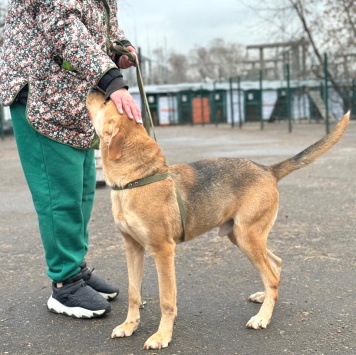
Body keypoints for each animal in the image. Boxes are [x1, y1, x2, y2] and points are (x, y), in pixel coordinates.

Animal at [85, 92, 348, 350]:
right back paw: (265, 298)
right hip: (242, 237)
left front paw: (162, 336)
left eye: (106, 100)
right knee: (276, 265)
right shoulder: (132, 248)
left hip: (247, 236)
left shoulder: (163, 251)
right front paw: (129, 326)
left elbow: (166, 299)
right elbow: (133, 293)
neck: (137, 179)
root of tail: (268, 169)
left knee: (272, 276)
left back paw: (263, 317)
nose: (92, 89)